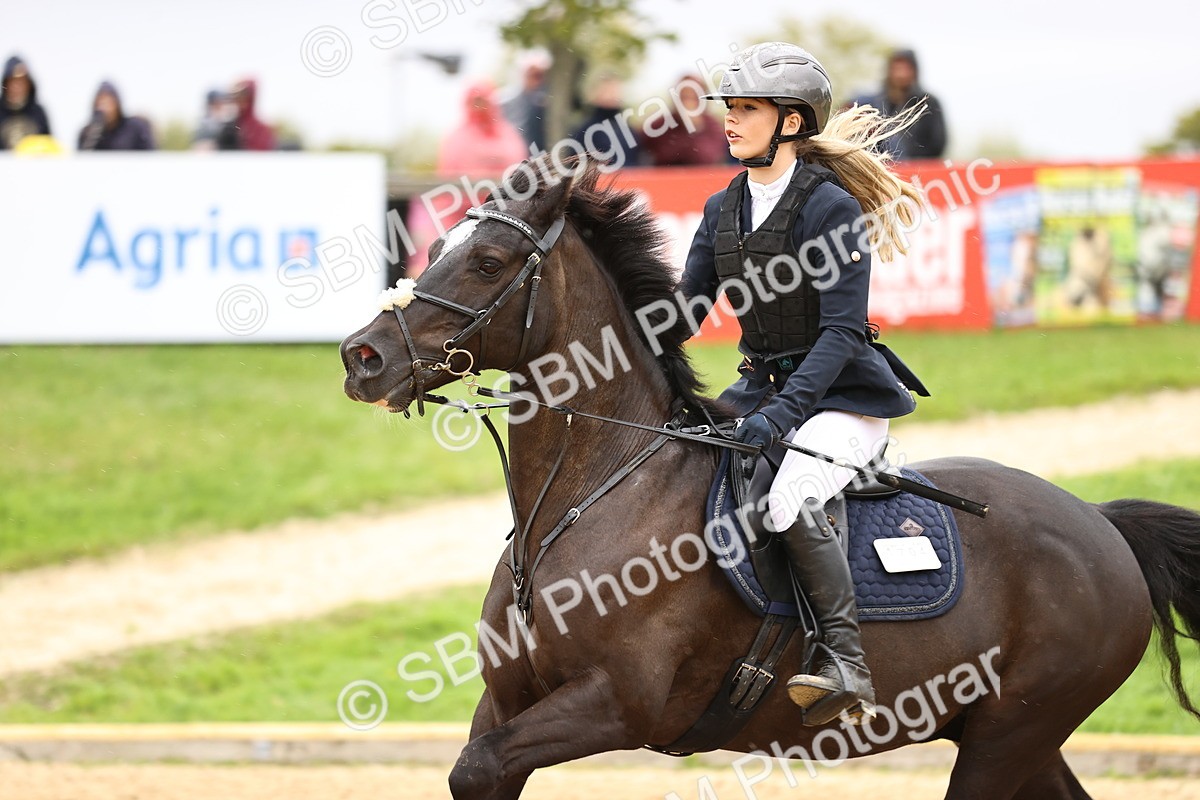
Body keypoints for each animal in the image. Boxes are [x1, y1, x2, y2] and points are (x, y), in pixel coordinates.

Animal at [340, 159, 1200, 799]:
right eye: (434, 250)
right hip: (1012, 735)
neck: (594, 493)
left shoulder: (616, 704)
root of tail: (1100, 522)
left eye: (488, 263)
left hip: (1008, 737)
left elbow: (478, 768)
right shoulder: (507, 701)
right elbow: (477, 771)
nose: (362, 357)